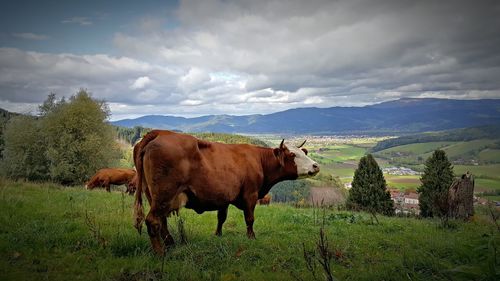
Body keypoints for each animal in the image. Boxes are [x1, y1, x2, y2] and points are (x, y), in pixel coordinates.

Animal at [133, 130, 320, 255]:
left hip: (155, 197)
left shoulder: (223, 198)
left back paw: (170, 244)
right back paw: (160, 253)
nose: (316, 165)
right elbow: (250, 218)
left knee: (161, 221)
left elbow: (221, 218)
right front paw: (251, 237)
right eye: (292, 155)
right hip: (164, 195)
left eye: (303, 152)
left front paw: (218, 235)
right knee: (153, 221)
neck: (258, 160)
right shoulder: (250, 194)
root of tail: (160, 133)